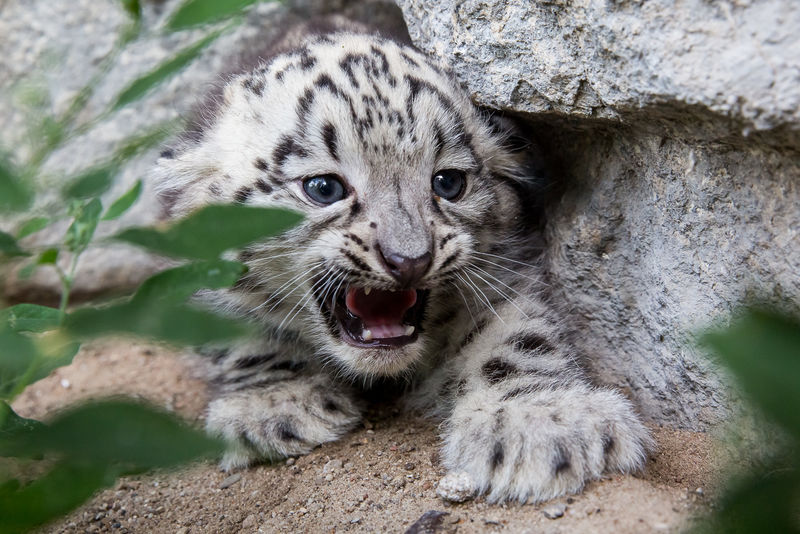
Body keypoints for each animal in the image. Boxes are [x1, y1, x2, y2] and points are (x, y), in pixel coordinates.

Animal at [154, 21, 652, 504]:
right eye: (323, 187)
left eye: (448, 182)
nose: (410, 259)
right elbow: (240, 334)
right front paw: (274, 404)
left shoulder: (504, 275)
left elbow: (517, 339)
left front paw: (541, 422)